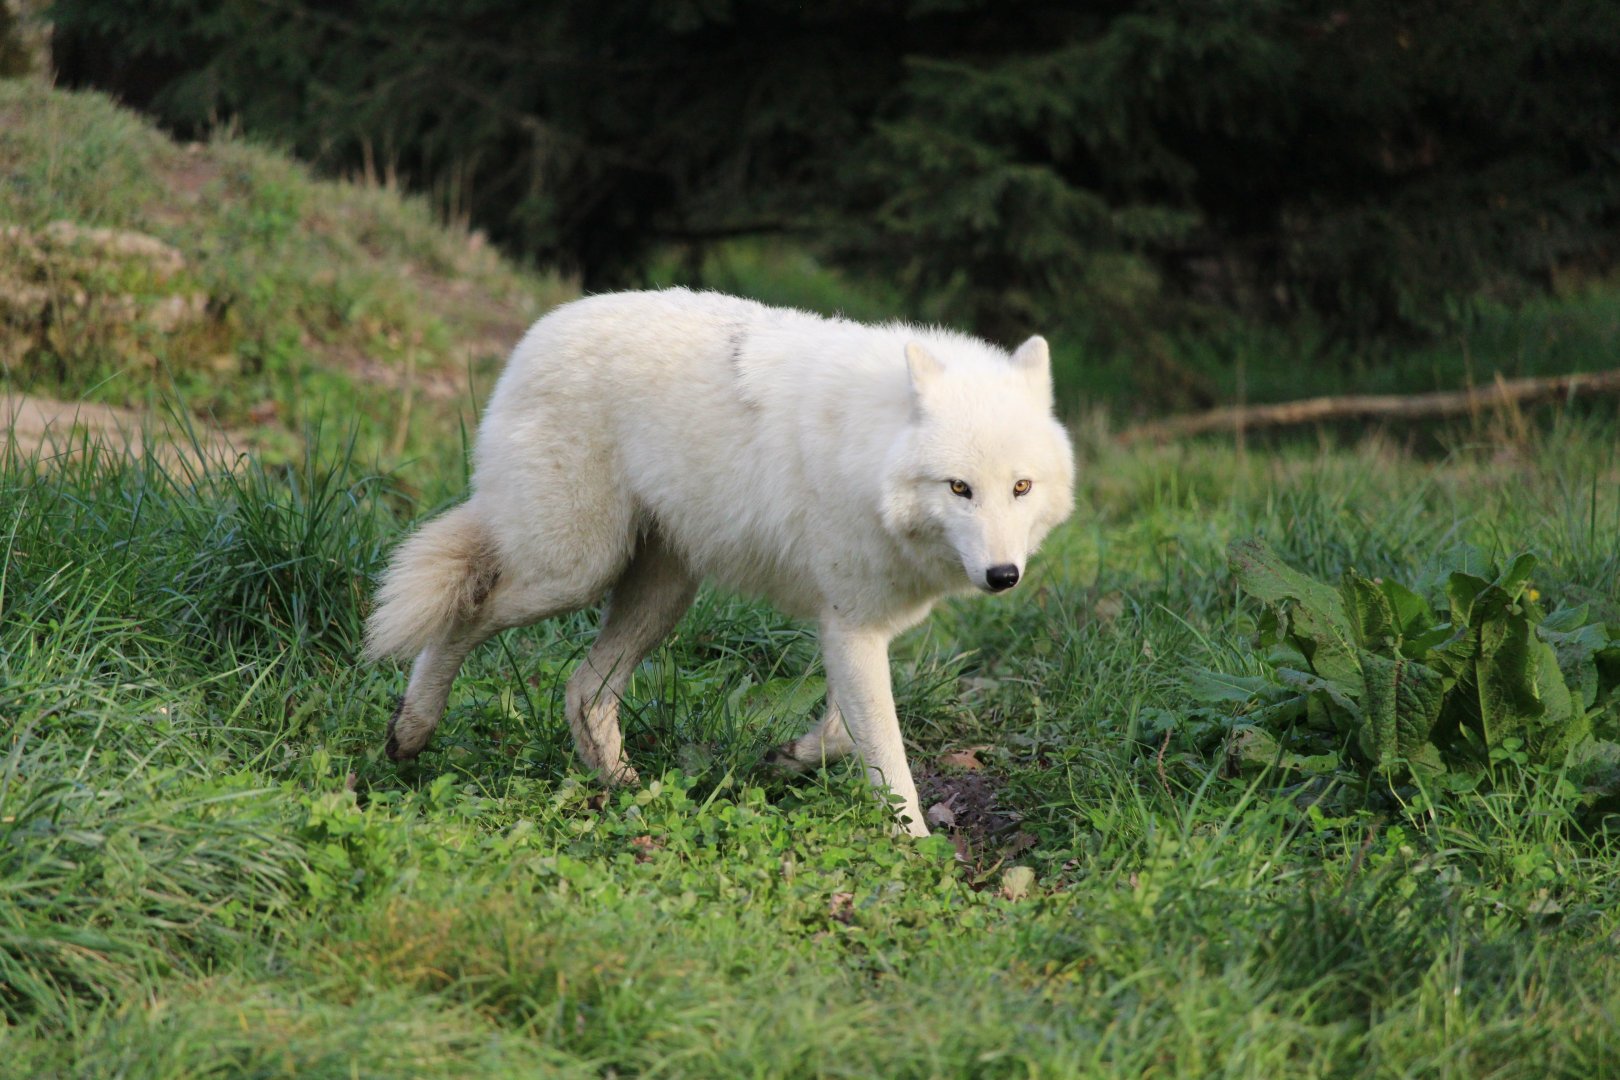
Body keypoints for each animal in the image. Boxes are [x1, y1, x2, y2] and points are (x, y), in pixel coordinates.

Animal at [364, 289, 1074, 836]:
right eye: (959, 488)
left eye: (1021, 487)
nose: (1003, 576)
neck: (872, 455)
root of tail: (537, 333)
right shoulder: (850, 626)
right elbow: (884, 754)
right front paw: (915, 848)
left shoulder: (855, 626)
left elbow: (845, 733)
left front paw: (787, 757)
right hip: (572, 575)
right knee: (467, 610)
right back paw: (410, 732)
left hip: (660, 595)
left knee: (582, 690)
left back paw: (630, 789)